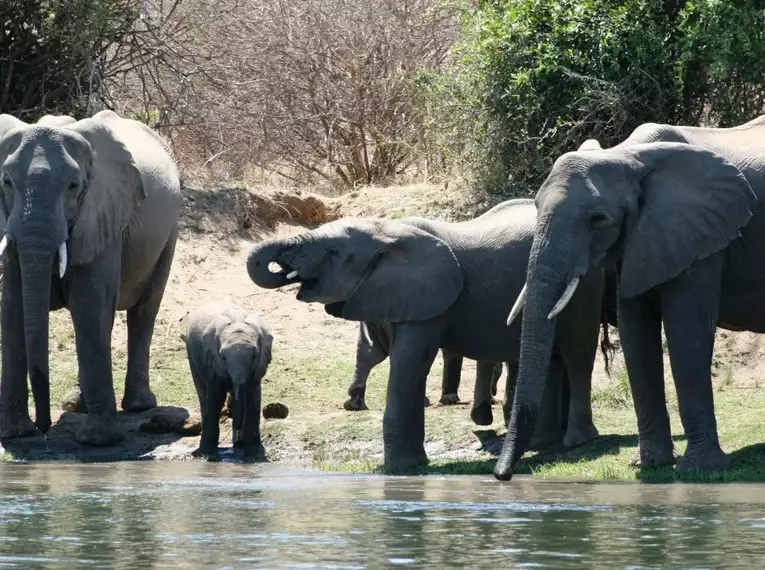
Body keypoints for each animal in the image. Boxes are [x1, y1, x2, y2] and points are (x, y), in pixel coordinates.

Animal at [0, 107, 182, 444]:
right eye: (6, 182)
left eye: (74, 185)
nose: (44, 428)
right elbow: (14, 305)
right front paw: (14, 435)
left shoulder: (104, 214)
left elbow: (89, 304)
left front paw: (97, 440)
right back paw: (74, 405)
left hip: (169, 232)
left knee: (144, 311)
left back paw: (138, 405)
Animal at [181, 300, 272, 460]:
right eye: (223, 357)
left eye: (255, 356)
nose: (238, 442)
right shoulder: (213, 359)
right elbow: (216, 397)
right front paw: (207, 455)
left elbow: (253, 397)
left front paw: (255, 456)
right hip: (192, 355)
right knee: (203, 395)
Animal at [248, 200, 604, 470]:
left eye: (332, 252)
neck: (387, 232)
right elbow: (379, 351)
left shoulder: (429, 299)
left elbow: (409, 363)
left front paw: (402, 469)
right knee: (552, 358)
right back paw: (542, 444)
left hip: (584, 284)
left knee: (576, 353)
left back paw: (573, 440)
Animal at [492, 115, 764, 480]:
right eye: (535, 207)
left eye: (597, 219)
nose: (501, 475)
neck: (627, 155)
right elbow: (635, 332)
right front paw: (649, 463)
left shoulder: (703, 235)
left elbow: (686, 332)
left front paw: (698, 468)